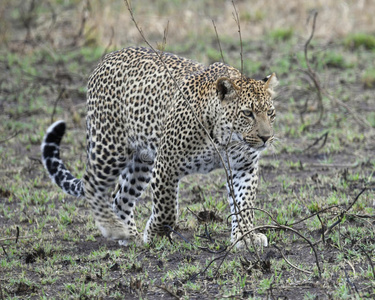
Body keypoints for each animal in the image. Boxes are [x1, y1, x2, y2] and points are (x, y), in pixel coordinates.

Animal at [41, 46, 278, 248]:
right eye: (247, 113)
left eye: (270, 113)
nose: (266, 137)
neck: (224, 140)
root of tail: (105, 59)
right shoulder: (167, 165)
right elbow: (167, 208)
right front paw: (157, 235)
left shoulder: (244, 167)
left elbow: (245, 203)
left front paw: (246, 236)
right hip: (110, 148)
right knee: (92, 183)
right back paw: (114, 229)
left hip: (141, 162)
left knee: (120, 196)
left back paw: (129, 235)